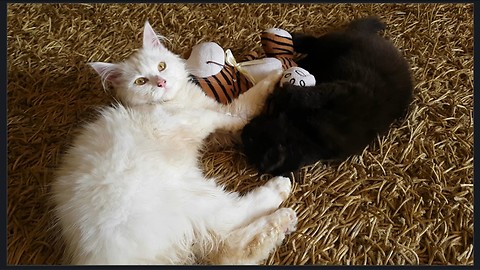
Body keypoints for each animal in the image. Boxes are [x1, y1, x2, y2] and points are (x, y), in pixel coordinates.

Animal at [51, 21, 296, 266]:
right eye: (140, 81)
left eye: (161, 66)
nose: (161, 83)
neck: (175, 102)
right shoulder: (187, 120)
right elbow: (225, 115)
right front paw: (249, 116)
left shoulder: (216, 120)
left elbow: (249, 100)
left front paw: (276, 74)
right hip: (194, 197)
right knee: (235, 220)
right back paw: (281, 197)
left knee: (230, 249)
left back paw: (282, 223)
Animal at [242, 17, 414, 176]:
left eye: (251, 139)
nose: (245, 128)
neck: (308, 134)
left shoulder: (341, 91)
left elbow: (311, 94)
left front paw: (282, 93)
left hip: (332, 45)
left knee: (314, 43)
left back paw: (293, 38)